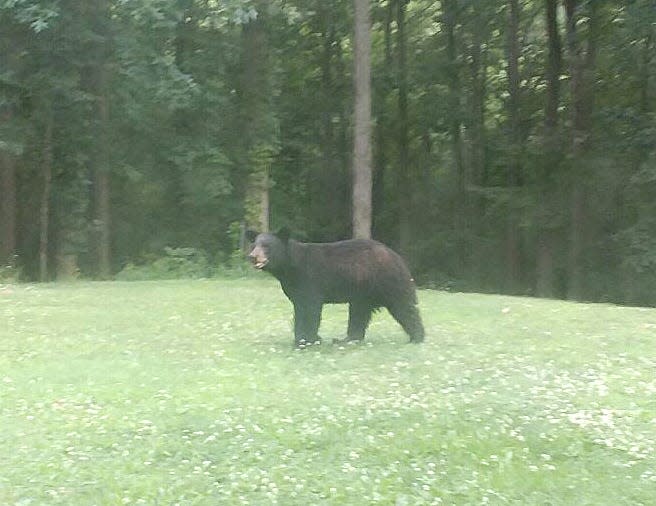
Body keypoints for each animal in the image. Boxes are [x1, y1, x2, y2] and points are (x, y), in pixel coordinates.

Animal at [246, 230, 426, 346]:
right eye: (254, 244)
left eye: (267, 245)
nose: (253, 257)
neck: (289, 267)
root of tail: (397, 256)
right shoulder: (294, 286)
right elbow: (300, 309)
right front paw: (303, 339)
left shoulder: (309, 279)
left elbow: (310, 309)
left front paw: (308, 340)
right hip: (363, 292)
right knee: (359, 313)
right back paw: (347, 340)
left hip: (386, 282)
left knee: (404, 307)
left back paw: (417, 337)